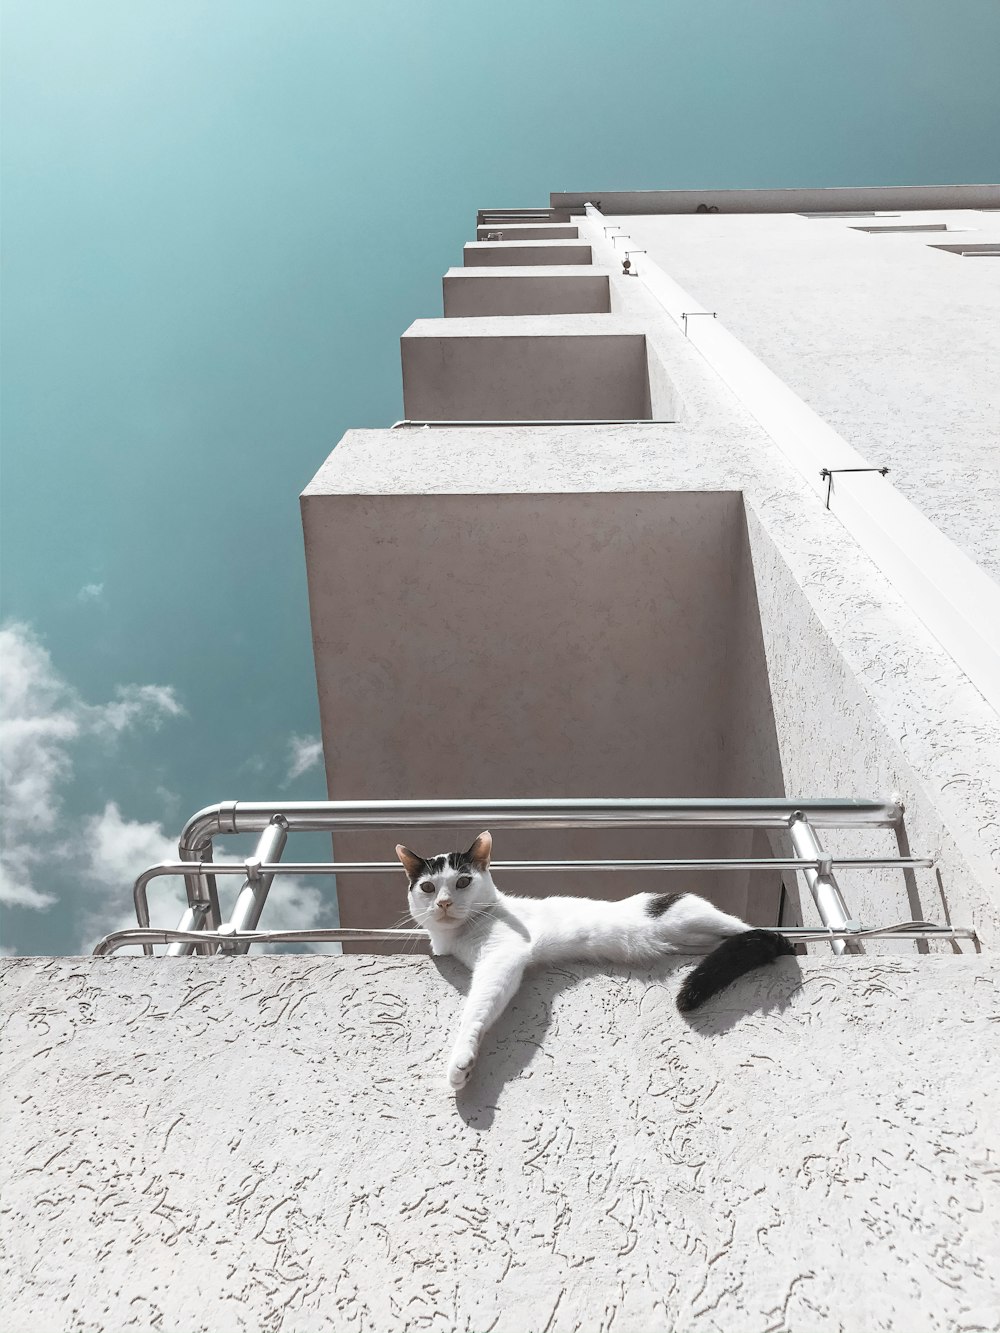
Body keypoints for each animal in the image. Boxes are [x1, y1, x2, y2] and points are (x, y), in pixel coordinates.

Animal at [394, 826, 794, 1087]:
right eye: (428, 887)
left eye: (462, 882)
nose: (444, 903)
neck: (459, 936)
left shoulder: (503, 956)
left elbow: (475, 1009)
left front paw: (461, 1060)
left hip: (697, 916)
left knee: (767, 936)